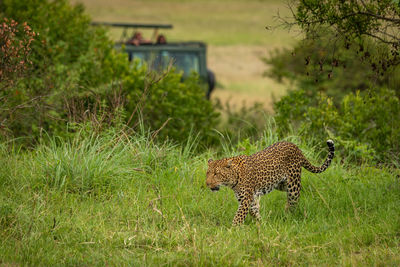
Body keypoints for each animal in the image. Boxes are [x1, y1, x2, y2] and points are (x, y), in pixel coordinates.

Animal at [206, 140, 334, 226]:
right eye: (208, 173)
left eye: (216, 174)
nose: (207, 183)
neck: (234, 177)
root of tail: (296, 147)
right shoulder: (249, 199)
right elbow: (254, 211)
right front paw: (262, 223)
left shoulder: (245, 199)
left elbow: (238, 217)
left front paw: (232, 230)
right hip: (281, 184)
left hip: (293, 185)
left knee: (294, 200)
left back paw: (289, 216)